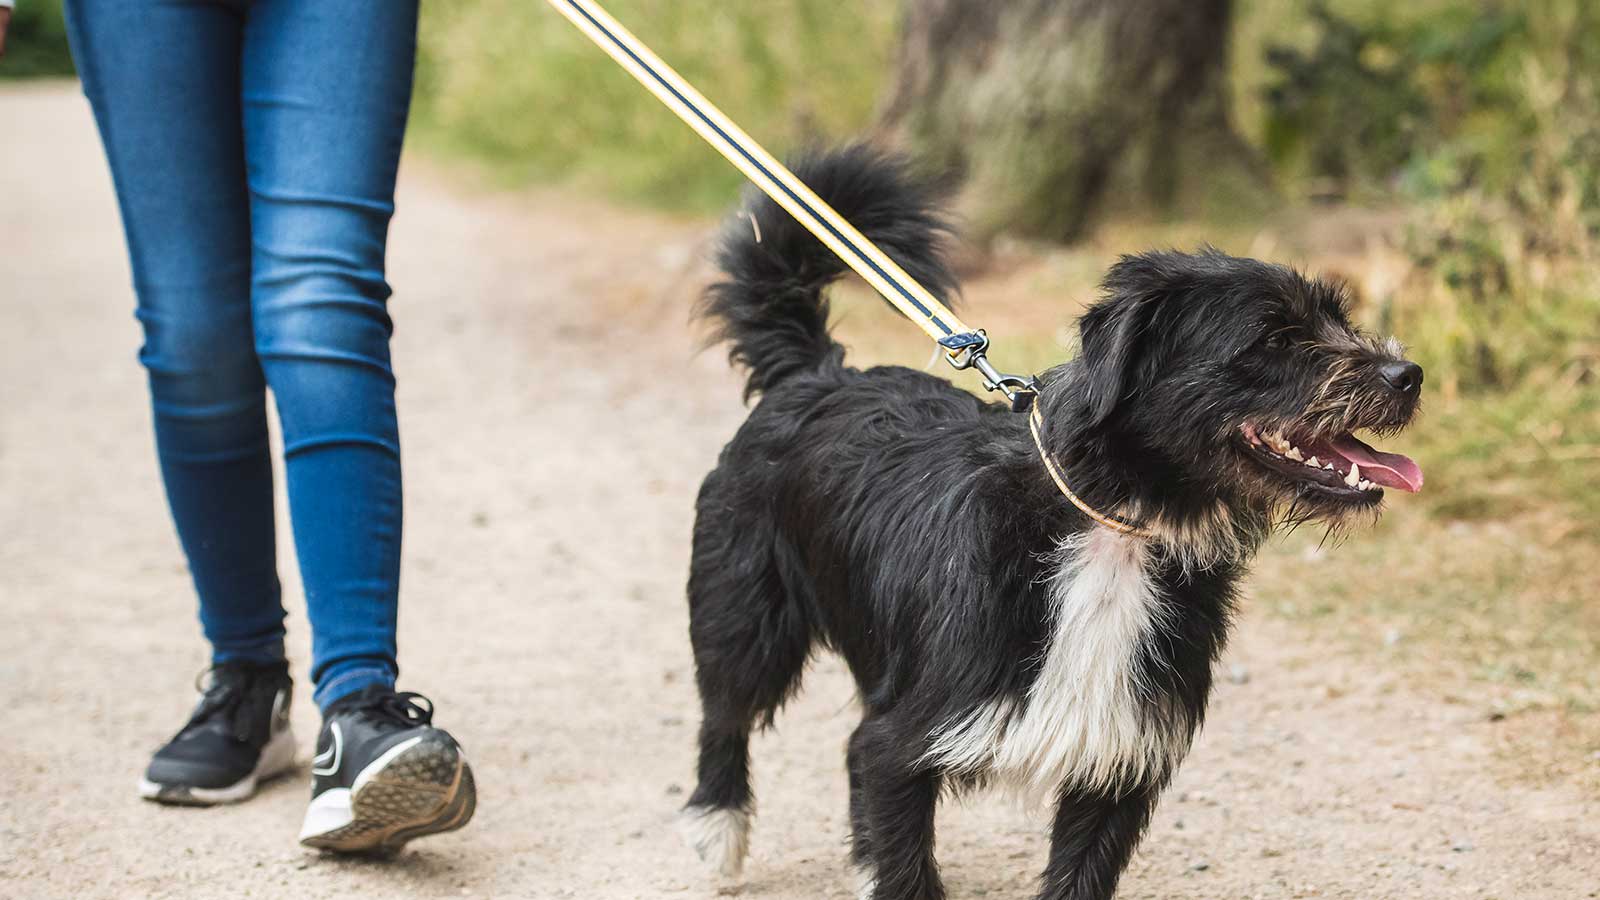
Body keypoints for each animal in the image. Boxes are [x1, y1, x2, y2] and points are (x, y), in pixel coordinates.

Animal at [681, 147, 1420, 896]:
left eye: (1336, 316)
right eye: (1274, 337)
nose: (1409, 374)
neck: (1113, 534)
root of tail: (814, 373)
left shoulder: (1120, 765)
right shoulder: (901, 742)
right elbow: (899, 843)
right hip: (743, 616)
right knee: (725, 716)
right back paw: (717, 832)